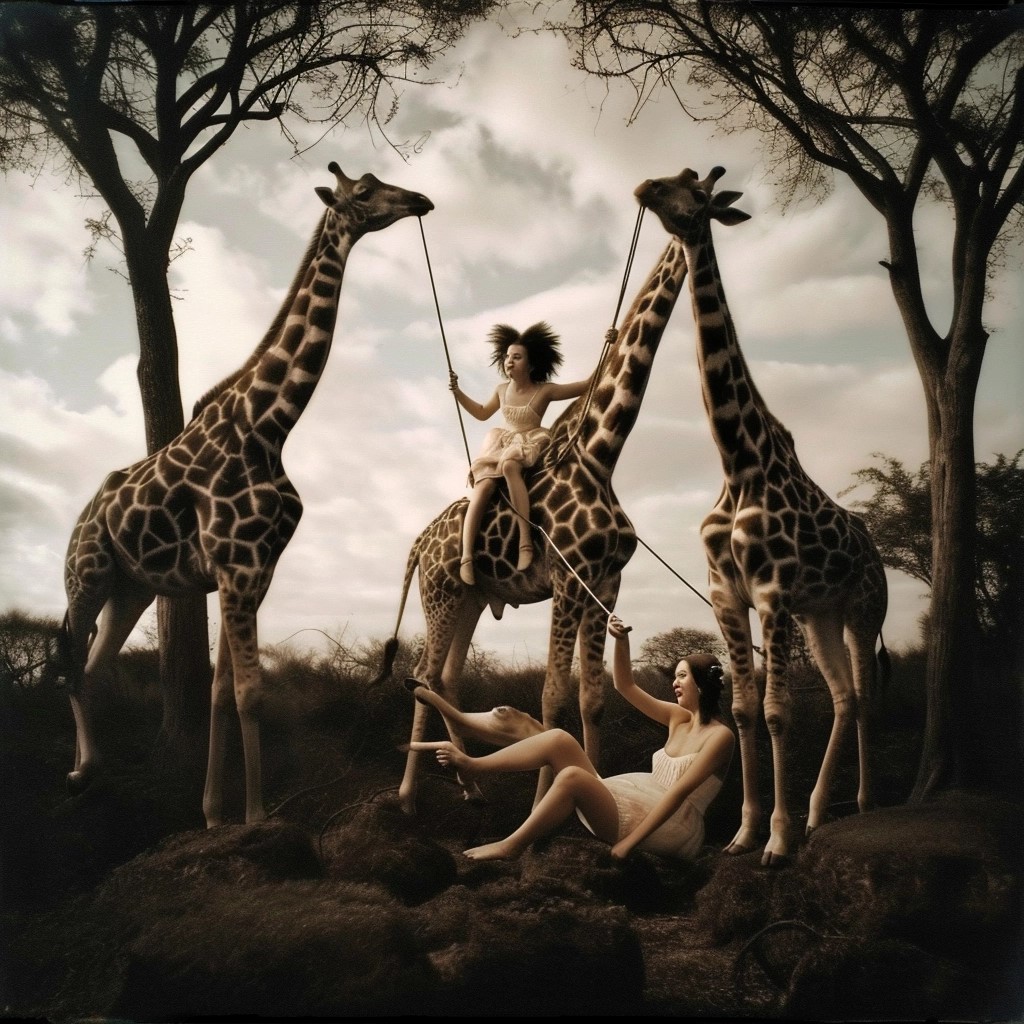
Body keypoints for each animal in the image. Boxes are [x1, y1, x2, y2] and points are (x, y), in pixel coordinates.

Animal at [59, 164, 433, 828]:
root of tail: (81, 521)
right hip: (86, 574)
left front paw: (215, 812)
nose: (420, 200)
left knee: (93, 667)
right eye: (365, 191)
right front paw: (255, 816)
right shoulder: (236, 564)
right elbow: (249, 693)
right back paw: (82, 771)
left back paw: (89, 768)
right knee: (73, 665)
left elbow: (221, 692)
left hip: (130, 589)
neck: (269, 425)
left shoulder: (256, 570)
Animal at [374, 196, 691, 813]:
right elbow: (552, 696)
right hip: (440, 596)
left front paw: (595, 788)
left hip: (472, 599)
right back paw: (407, 797)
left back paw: (470, 784)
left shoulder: (606, 581)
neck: (598, 458)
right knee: (422, 673)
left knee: (445, 677)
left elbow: (593, 697)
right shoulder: (568, 582)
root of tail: (419, 543)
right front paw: (547, 800)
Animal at [637, 166, 889, 866]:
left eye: (695, 193)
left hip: (861, 610)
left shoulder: (772, 592)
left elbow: (778, 712)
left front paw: (775, 841)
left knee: (864, 695)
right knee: (844, 695)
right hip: (818, 615)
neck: (738, 462)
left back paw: (858, 804)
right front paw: (746, 834)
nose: (645, 187)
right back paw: (818, 813)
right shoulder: (729, 593)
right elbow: (746, 710)